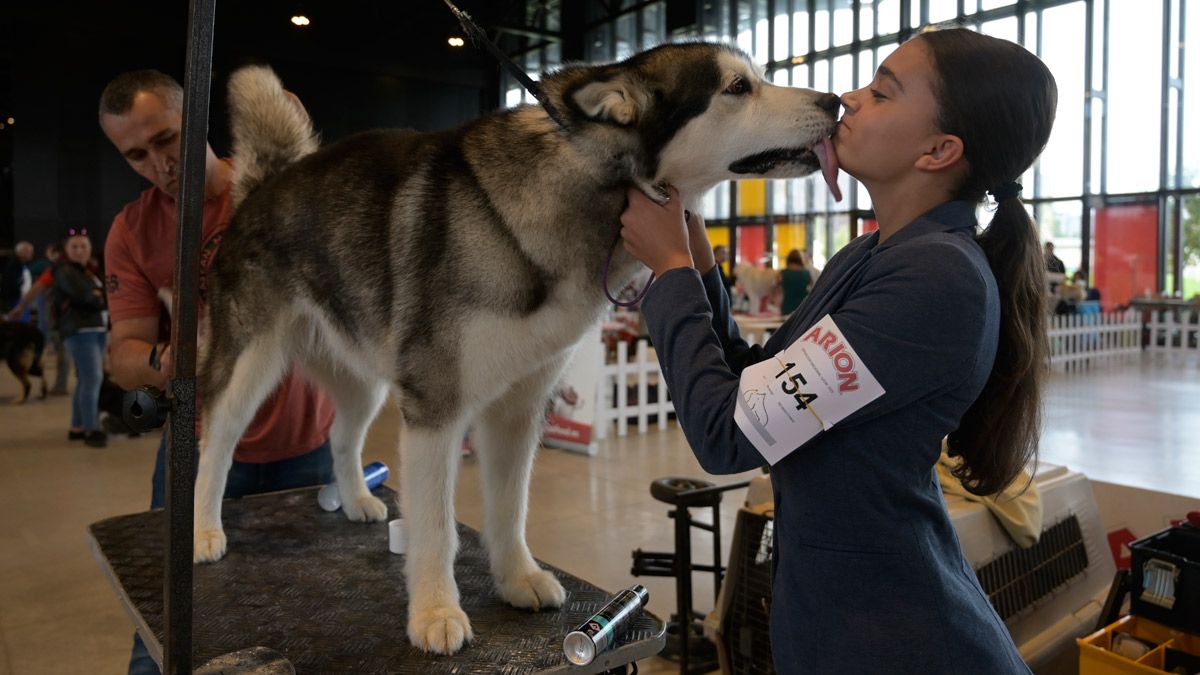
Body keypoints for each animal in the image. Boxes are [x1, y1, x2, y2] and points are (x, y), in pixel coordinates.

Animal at [194, 43, 835, 653]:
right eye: (738, 87)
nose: (833, 101)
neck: (580, 190)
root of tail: (265, 183)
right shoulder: (435, 407)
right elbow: (437, 525)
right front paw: (435, 612)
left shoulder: (519, 408)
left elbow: (509, 506)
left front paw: (517, 579)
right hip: (250, 364)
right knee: (217, 442)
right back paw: (204, 530)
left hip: (365, 379)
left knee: (341, 434)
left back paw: (355, 499)